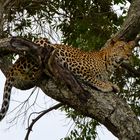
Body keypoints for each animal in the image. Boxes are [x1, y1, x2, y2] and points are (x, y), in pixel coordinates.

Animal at [0, 37, 135, 121]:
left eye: (130, 49)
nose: (129, 55)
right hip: (41, 44)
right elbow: (93, 79)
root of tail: (15, 64)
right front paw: (106, 86)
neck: (111, 64)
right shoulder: (78, 68)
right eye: (121, 47)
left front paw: (113, 85)